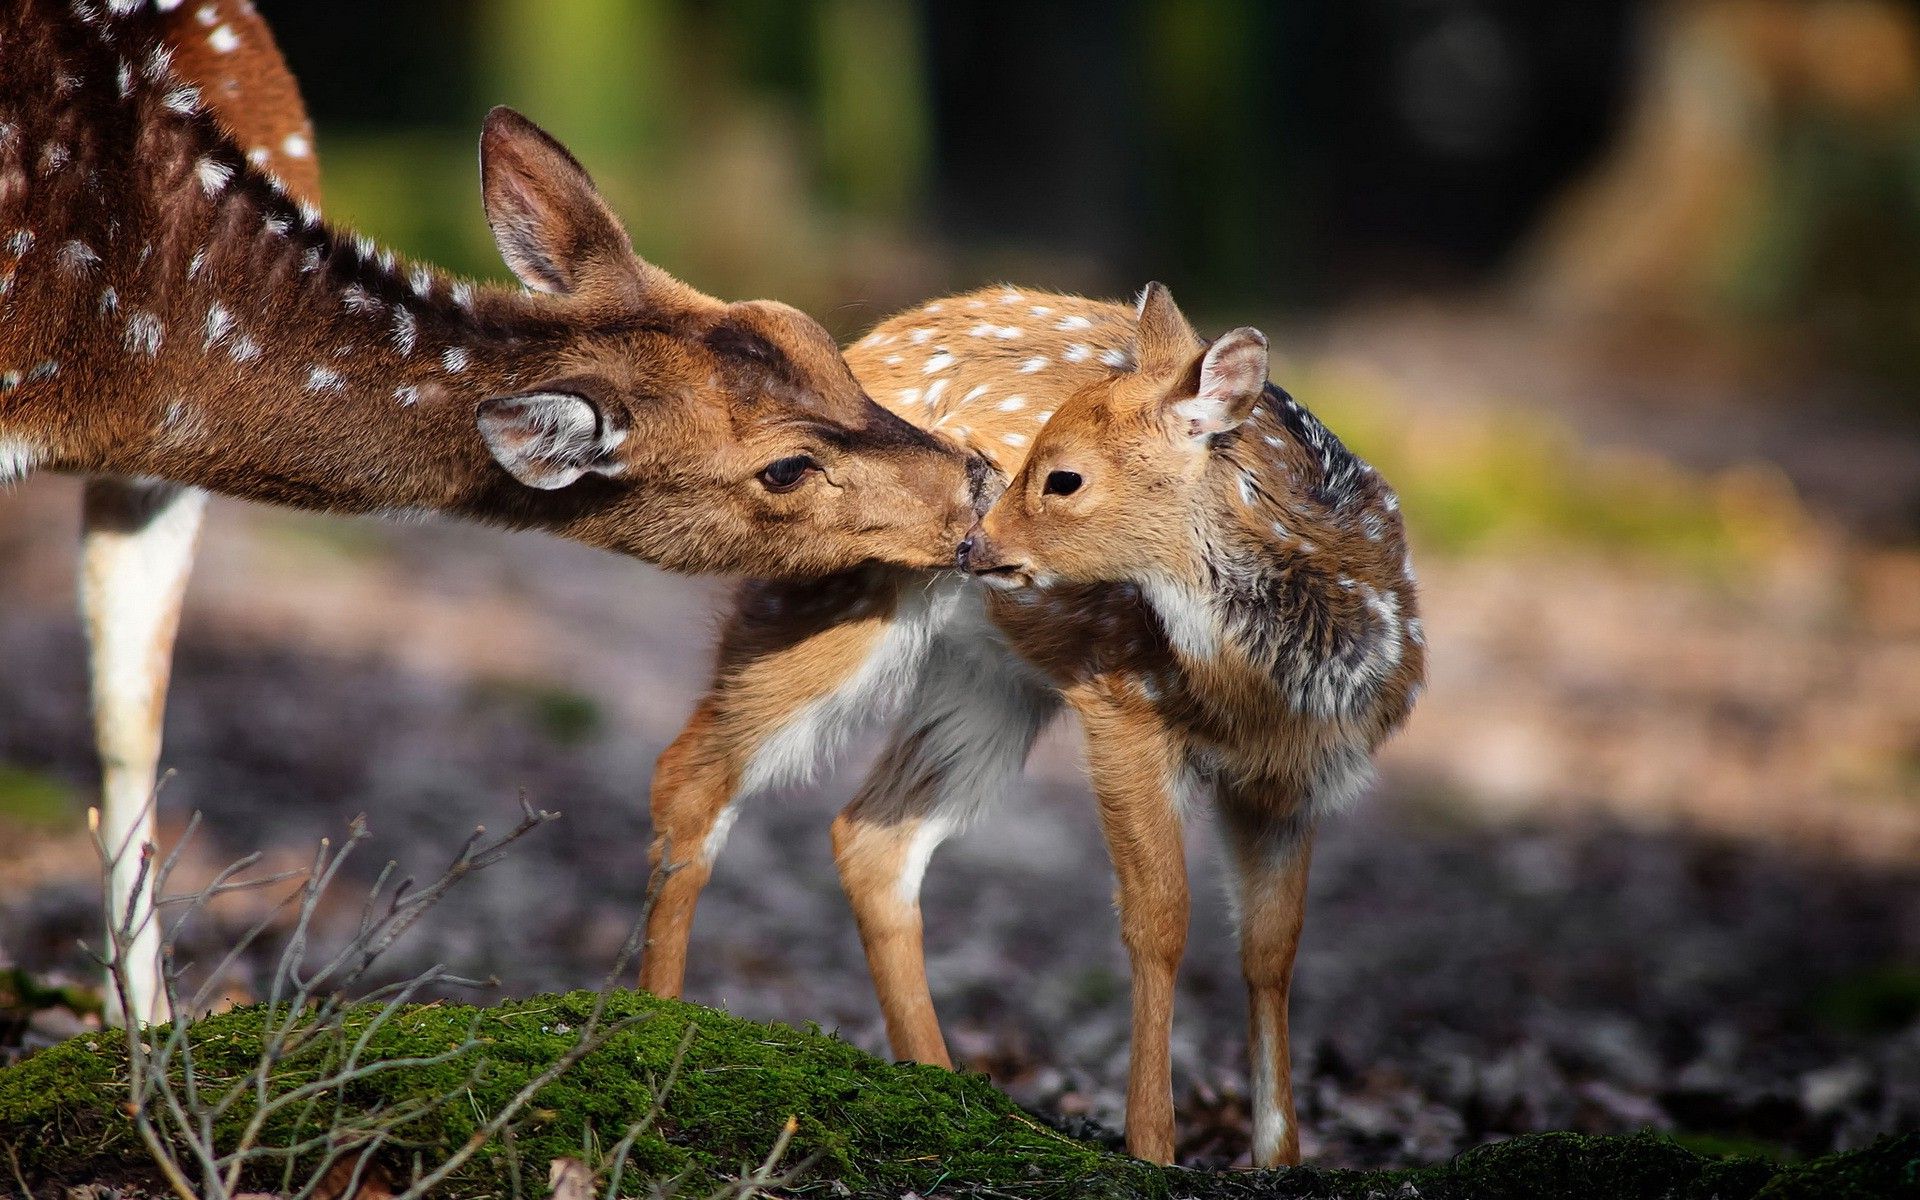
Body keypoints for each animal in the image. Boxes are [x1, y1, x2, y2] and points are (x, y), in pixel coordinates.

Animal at [1, 0, 986, 1025]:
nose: (978, 474)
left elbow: (129, 722)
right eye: (786, 469)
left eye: (814, 336)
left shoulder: (156, 468)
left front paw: (150, 1032)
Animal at [638, 282, 1424, 1167]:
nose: (973, 537)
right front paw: (1152, 1146)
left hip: (988, 682)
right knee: (690, 774)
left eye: (1064, 477)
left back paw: (937, 1079)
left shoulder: (1295, 782)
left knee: (872, 834)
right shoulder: (1123, 699)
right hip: (823, 597)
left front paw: (1278, 1158)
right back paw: (657, 1030)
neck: (1269, 687)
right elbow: (1160, 919)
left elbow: (1273, 949)